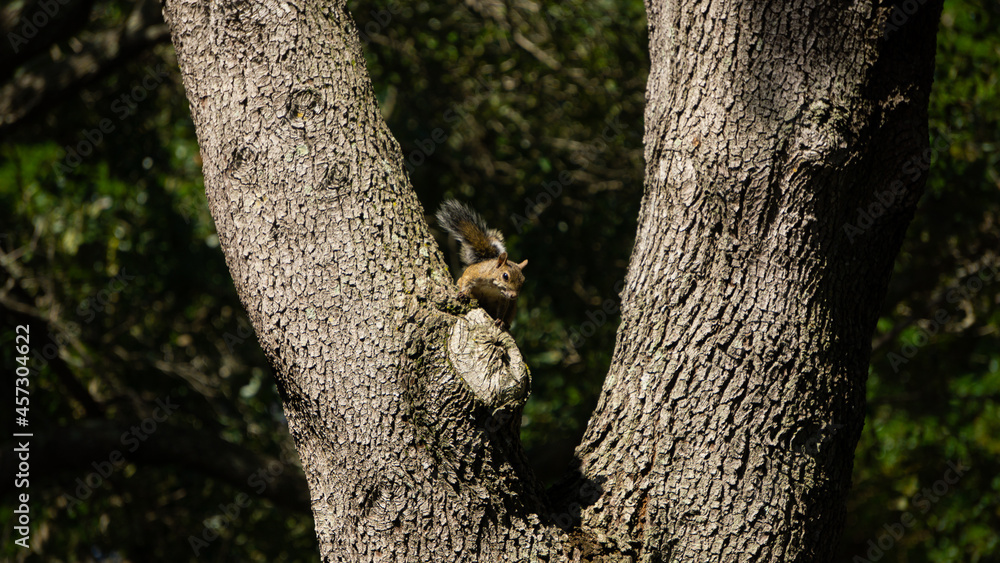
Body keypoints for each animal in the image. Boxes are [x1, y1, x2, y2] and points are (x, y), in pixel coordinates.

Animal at [436, 199, 528, 329]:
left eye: (523, 280)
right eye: (505, 276)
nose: (514, 296)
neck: (493, 287)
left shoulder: (504, 299)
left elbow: (502, 309)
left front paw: (500, 320)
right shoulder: (475, 273)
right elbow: (466, 280)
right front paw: (464, 293)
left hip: (512, 308)